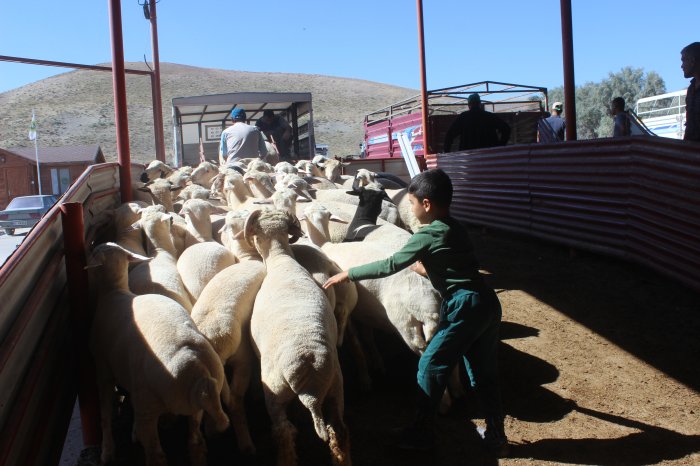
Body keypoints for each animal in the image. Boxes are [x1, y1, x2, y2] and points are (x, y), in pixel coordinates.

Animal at [86, 244, 230, 466]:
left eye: (95, 252)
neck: (114, 291)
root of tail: (200, 373)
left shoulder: (103, 369)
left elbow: (105, 414)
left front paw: (107, 451)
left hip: (148, 404)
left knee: (156, 454)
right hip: (195, 406)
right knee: (195, 441)